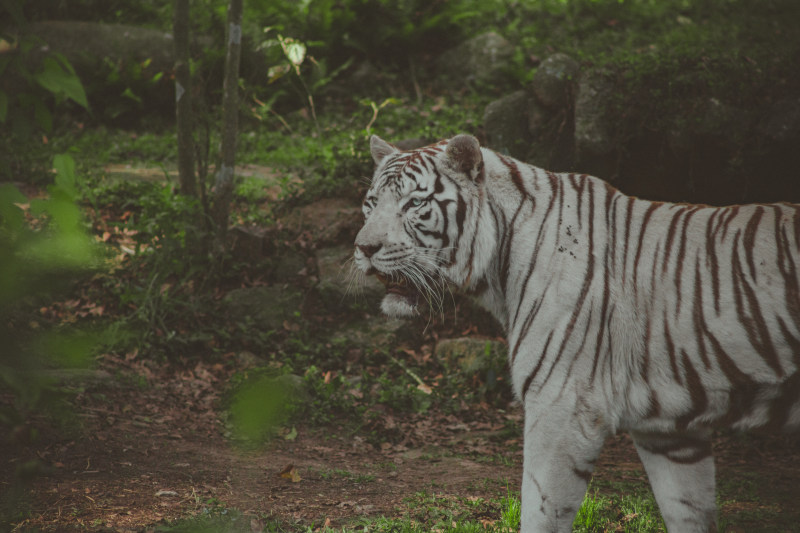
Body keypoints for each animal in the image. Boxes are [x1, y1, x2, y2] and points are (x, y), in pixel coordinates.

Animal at [354, 132, 800, 528]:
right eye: (370, 204)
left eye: (415, 203)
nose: (363, 248)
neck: (499, 266)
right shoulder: (669, 430)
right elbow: (688, 512)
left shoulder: (563, 406)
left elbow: (539, 512)